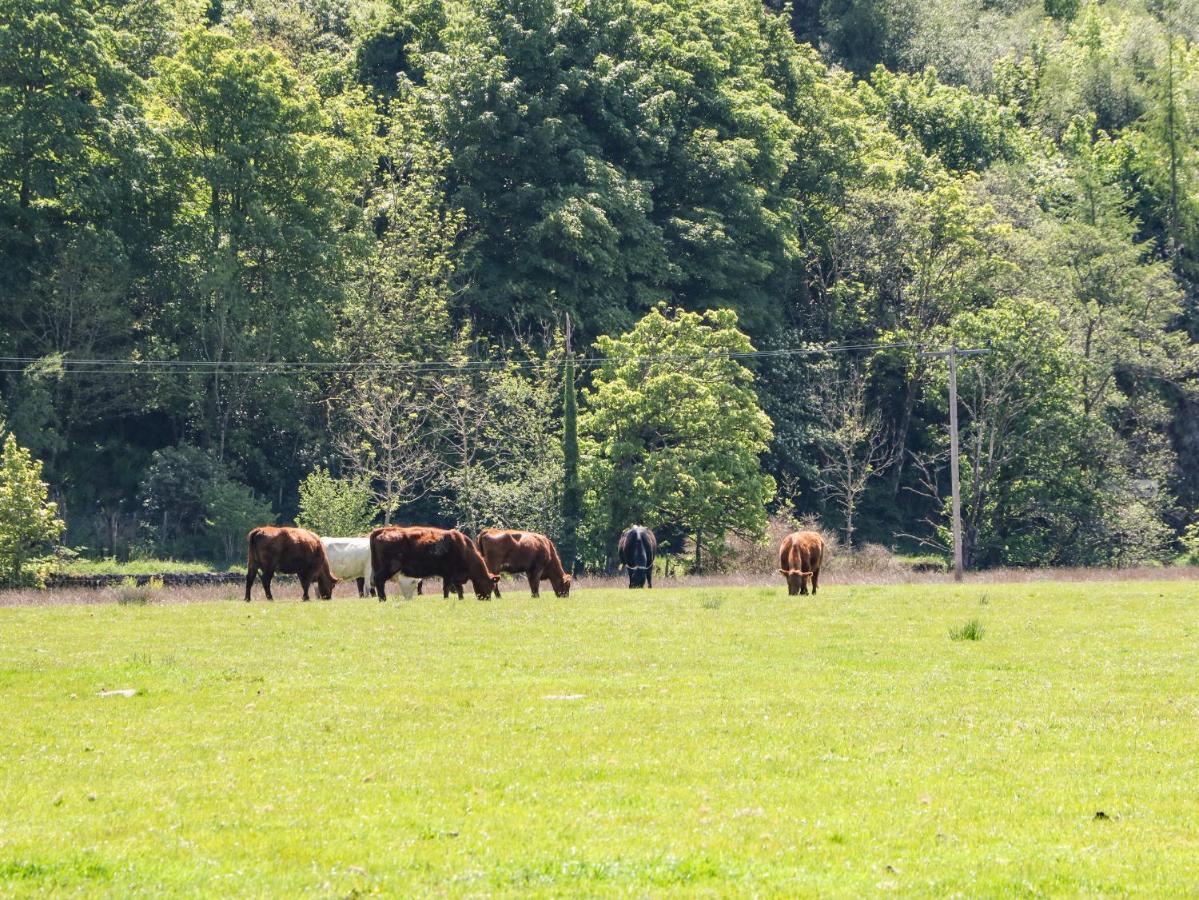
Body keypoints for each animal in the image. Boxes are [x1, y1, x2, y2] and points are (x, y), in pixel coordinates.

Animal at [364, 524, 496, 601]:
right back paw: (383, 599)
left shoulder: (454, 576)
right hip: (389, 567)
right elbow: (446, 588)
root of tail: (382, 530)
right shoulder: (448, 574)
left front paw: (461, 599)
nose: (487, 599)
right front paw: (446, 599)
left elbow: (459, 590)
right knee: (379, 581)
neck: (464, 548)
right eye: (489, 585)